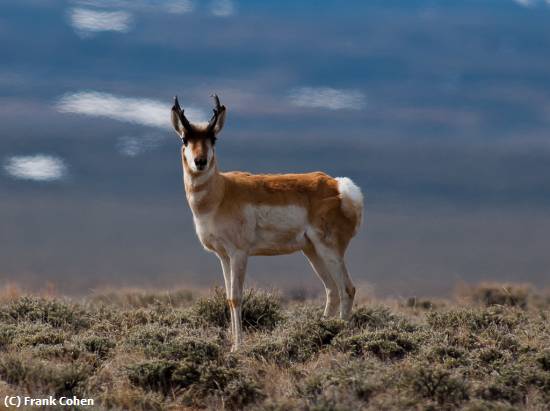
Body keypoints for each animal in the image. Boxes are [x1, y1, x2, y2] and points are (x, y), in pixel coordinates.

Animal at [170, 96, 364, 350]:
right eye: (185, 138)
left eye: (213, 138)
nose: (200, 161)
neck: (222, 191)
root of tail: (340, 187)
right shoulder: (223, 256)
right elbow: (228, 297)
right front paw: (233, 344)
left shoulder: (239, 254)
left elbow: (236, 297)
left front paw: (237, 347)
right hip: (312, 251)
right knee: (331, 290)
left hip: (329, 249)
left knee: (347, 289)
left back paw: (342, 336)